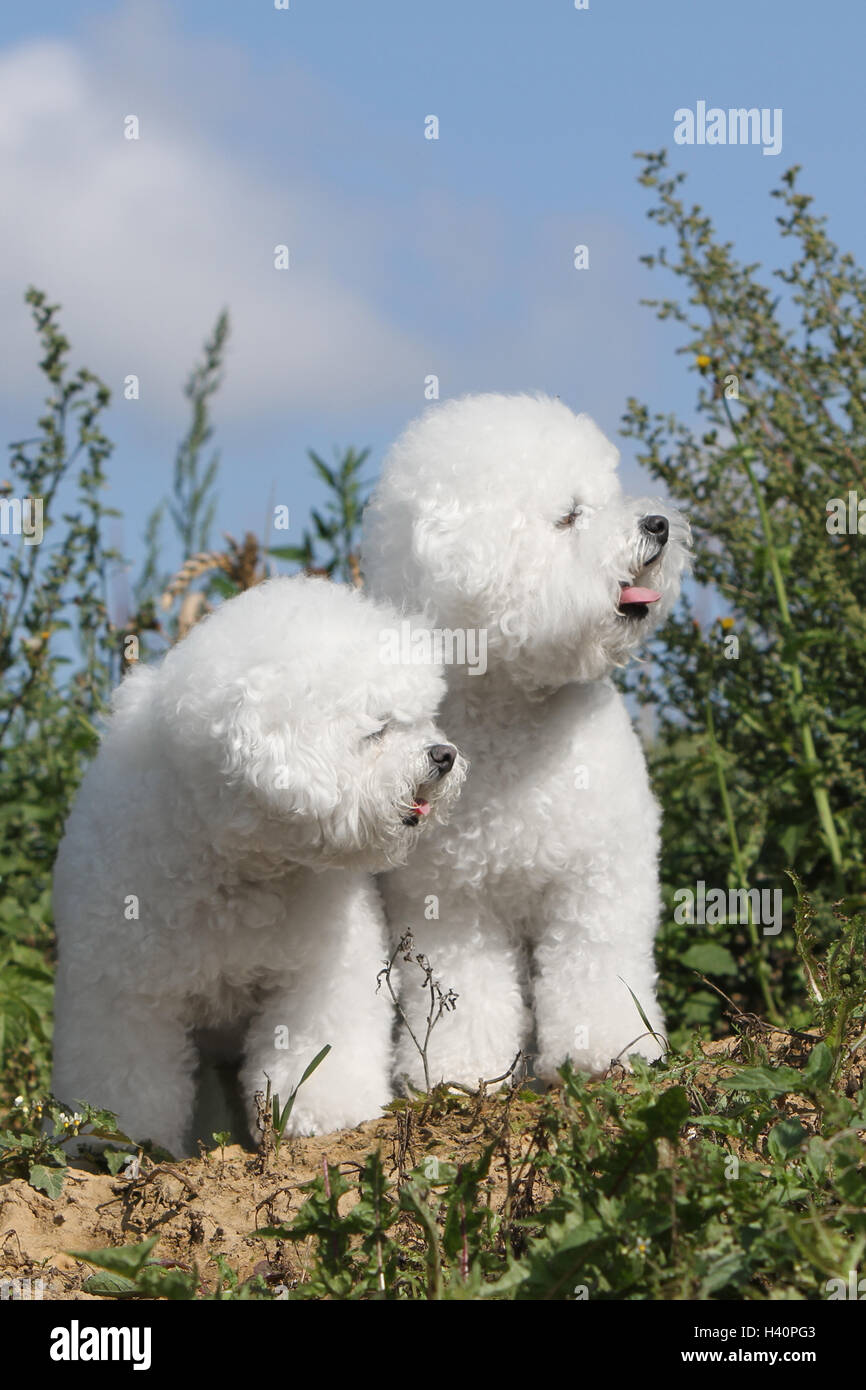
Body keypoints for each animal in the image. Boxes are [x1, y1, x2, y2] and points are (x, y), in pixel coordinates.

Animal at [50, 575, 464, 1150]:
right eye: (378, 730)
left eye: (420, 718)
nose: (444, 754)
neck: (238, 867)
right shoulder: (125, 994)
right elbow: (125, 1081)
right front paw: (117, 1142)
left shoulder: (316, 976)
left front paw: (329, 1115)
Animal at [358, 391, 692, 1084]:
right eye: (569, 517)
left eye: (606, 495)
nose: (657, 524)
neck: (516, 715)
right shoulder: (454, 904)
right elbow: (468, 988)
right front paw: (460, 1070)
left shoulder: (595, 877)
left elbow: (597, 964)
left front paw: (607, 1048)